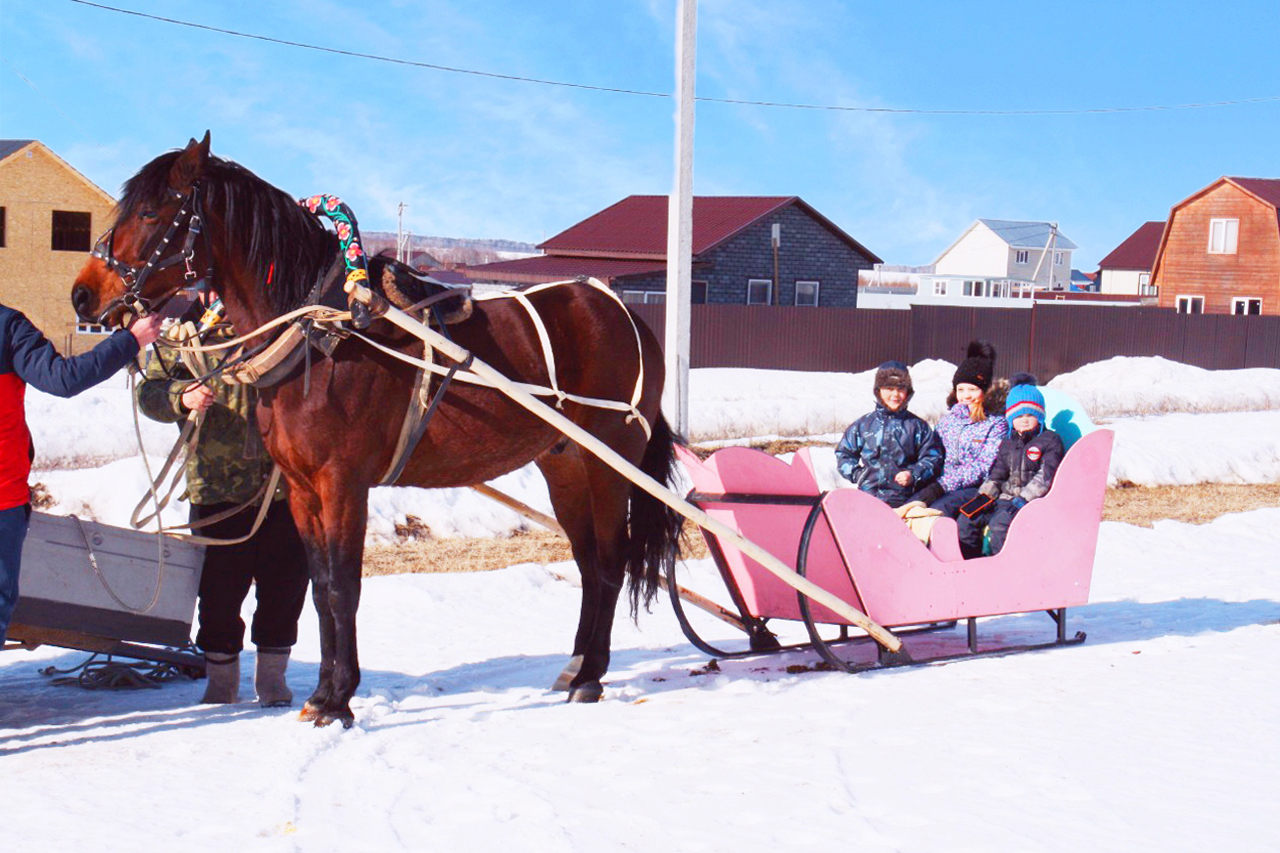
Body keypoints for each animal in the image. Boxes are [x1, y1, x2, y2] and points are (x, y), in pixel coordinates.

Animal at [71, 133, 686, 722]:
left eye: (151, 211)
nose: (83, 293)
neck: (320, 330)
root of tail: (626, 313)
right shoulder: (302, 488)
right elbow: (321, 589)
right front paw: (321, 693)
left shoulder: (343, 483)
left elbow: (345, 587)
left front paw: (339, 698)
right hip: (565, 464)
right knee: (588, 563)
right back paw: (576, 666)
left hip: (610, 460)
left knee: (610, 561)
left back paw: (591, 677)